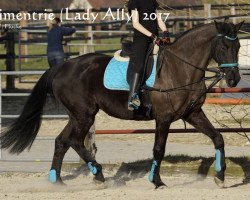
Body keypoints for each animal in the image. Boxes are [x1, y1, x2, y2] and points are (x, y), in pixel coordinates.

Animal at [0, 21, 243, 188]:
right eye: (223, 46)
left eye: (238, 46)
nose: (234, 79)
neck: (180, 68)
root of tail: (62, 67)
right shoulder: (163, 118)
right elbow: (159, 149)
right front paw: (156, 181)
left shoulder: (193, 113)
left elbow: (218, 138)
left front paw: (220, 177)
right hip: (84, 115)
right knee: (74, 140)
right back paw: (98, 174)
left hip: (78, 115)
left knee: (62, 141)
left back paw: (58, 180)